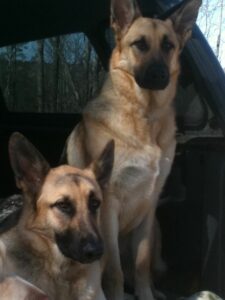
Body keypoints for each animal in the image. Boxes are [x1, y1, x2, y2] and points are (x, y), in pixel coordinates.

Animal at [63, 1, 202, 298]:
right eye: (139, 44)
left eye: (169, 46)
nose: (159, 75)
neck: (144, 114)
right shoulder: (108, 209)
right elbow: (113, 271)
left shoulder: (149, 208)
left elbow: (142, 263)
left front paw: (146, 294)